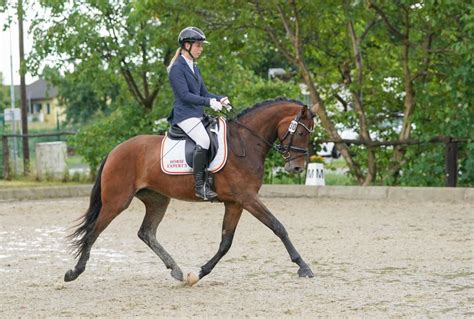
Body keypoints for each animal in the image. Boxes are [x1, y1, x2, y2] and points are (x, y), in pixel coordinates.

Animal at [64, 99, 314, 286]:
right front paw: (303, 266)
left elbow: (226, 242)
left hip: (157, 200)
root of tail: (115, 150)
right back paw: (74, 272)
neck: (245, 144)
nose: (297, 168)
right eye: (302, 133)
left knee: (146, 233)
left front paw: (200, 273)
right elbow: (278, 227)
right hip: (116, 201)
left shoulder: (235, 203)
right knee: (94, 232)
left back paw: (176, 270)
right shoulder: (248, 198)